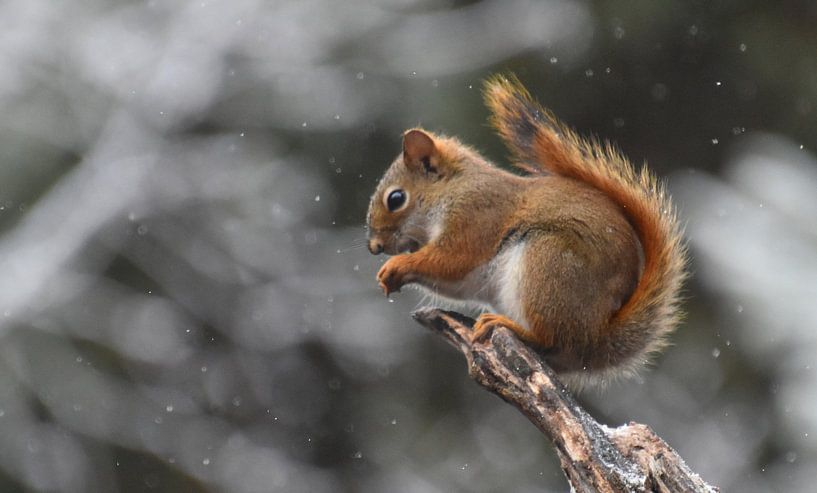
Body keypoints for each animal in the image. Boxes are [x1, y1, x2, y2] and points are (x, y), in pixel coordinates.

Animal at [366, 75, 687, 385]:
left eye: (396, 199)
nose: (374, 247)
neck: (453, 189)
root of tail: (596, 339)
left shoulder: (475, 217)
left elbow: (453, 259)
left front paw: (397, 265)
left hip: (547, 264)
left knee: (551, 339)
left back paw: (508, 326)